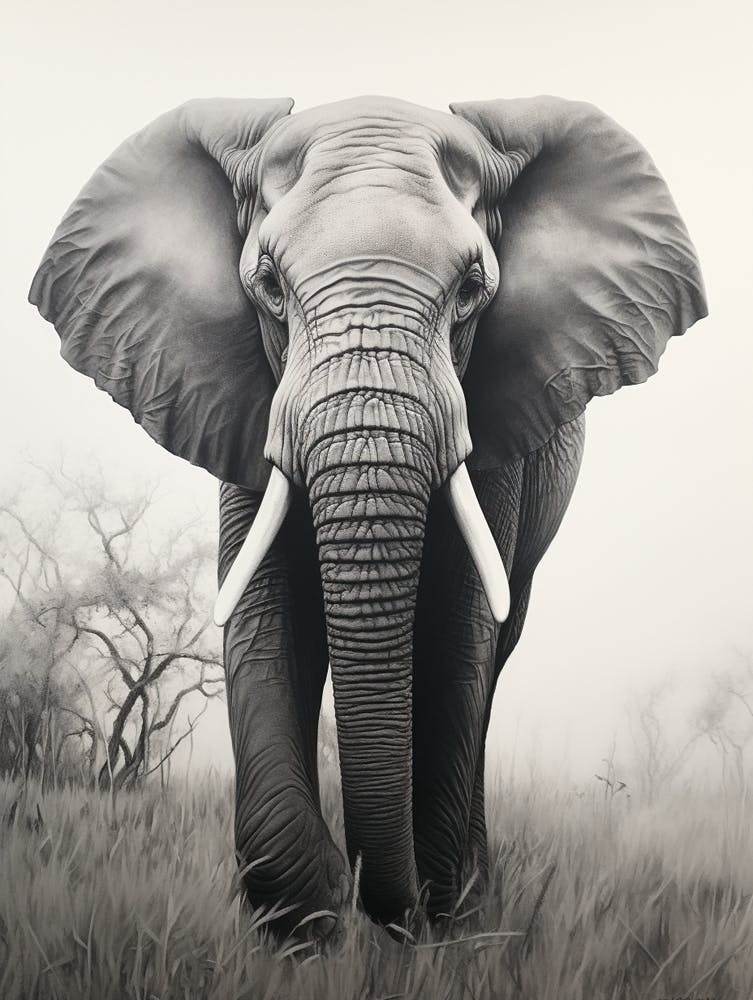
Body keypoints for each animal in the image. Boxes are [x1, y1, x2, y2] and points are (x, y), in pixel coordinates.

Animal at [29, 95, 706, 935]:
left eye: (470, 288)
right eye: (269, 285)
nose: (376, 901)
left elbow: (456, 636)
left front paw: (436, 922)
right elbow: (266, 611)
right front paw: (307, 918)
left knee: (492, 658)